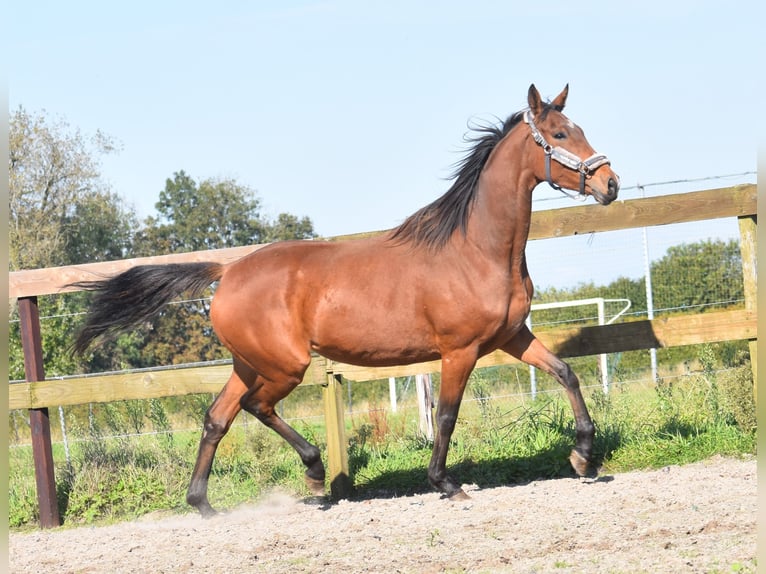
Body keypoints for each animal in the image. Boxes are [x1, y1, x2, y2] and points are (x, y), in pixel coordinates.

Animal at [75, 84, 620, 516]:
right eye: (560, 135)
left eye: (578, 128)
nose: (609, 183)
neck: (476, 249)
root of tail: (227, 272)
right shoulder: (458, 351)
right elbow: (446, 416)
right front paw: (445, 484)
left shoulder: (512, 336)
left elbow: (566, 372)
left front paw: (582, 457)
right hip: (285, 366)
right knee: (256, 408)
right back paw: (316, 475)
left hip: (249, 363)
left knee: (217, 418)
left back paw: (203, 504)